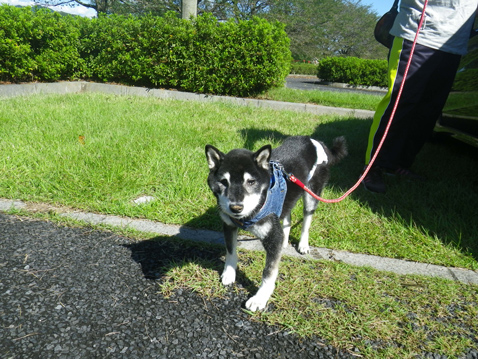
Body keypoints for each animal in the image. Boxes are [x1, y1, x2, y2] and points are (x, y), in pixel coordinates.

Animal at [205, 136, 348, 310]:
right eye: (224, 182)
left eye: (251, 182)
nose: (236, 207)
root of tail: (315, 141)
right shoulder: (229, 225)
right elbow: (231, 252)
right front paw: (229, 273)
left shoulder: (272, 237)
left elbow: (269, 271)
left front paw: (260, 298)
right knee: (287, 216)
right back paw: (285, 240)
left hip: (312, 194)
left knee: (307, 220)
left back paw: (303, 244)